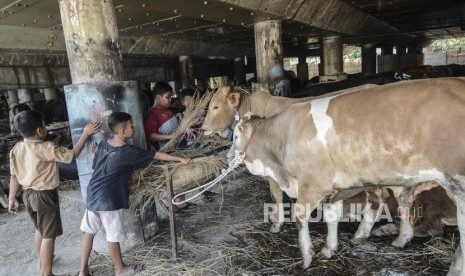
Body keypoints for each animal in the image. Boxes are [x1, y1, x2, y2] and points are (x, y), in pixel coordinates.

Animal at [234, 77, 464, 274]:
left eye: (235, 136)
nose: (230, 157)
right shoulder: (334, 190)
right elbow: (331, 217)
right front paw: (329, 249)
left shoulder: (313, 185)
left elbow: (300, 217)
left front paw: (307, 257)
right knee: (398, 201)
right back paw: (394, 238)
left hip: (456, 184)